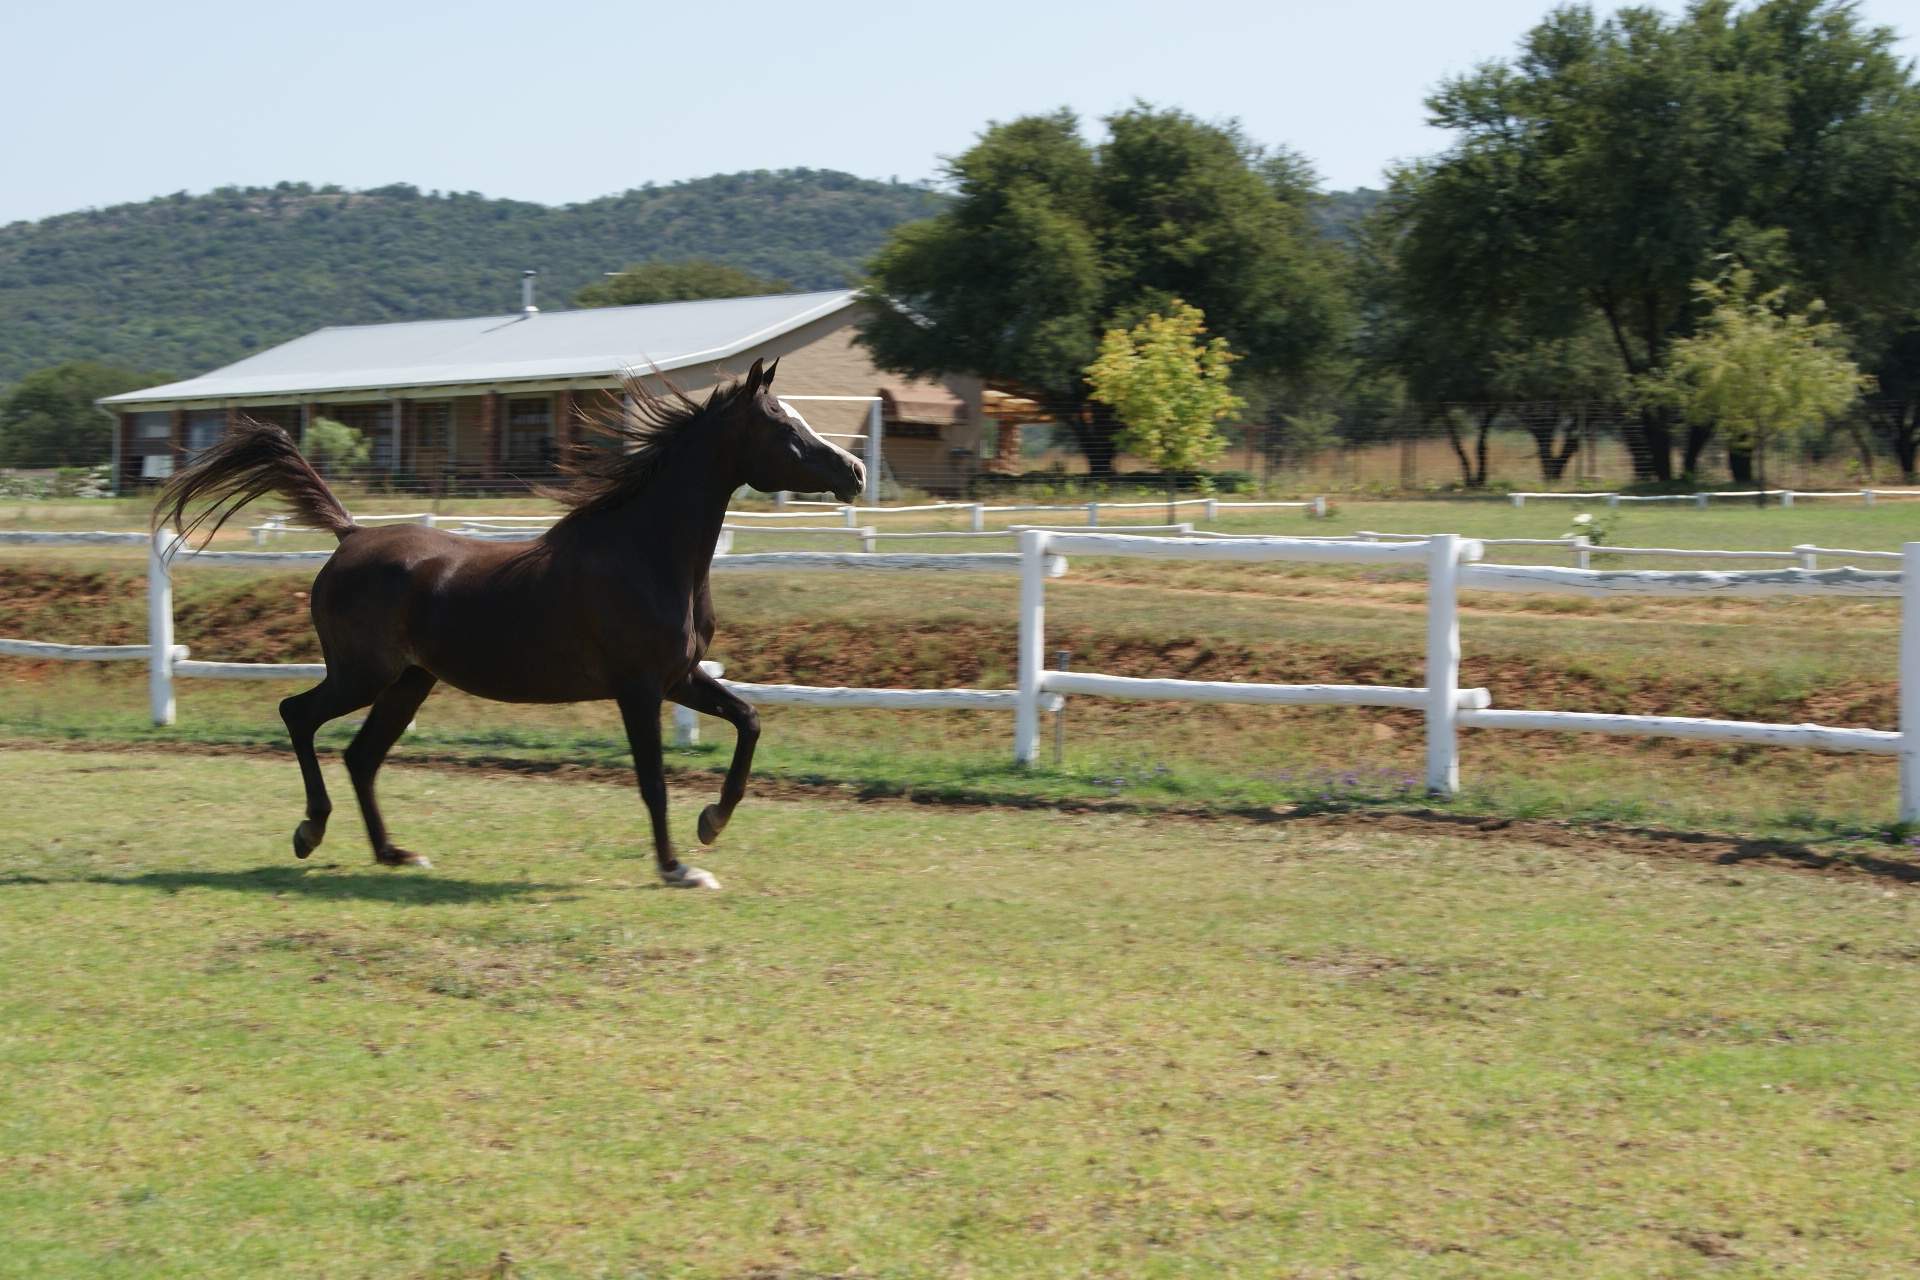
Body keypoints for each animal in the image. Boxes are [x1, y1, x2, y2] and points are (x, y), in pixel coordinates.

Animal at [155, 359, 863, 889]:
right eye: (781, 425)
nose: (853, 471)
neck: (646, 552)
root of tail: (350, 534)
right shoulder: (637, 688)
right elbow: (653, 781)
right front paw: (677, 867)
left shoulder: (679, 678)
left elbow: (749, 720)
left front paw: (712, 821)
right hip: (362, 674)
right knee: (298, 715)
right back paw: (311, 830)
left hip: (409, 682)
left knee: (361, 755)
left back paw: (395, 854)